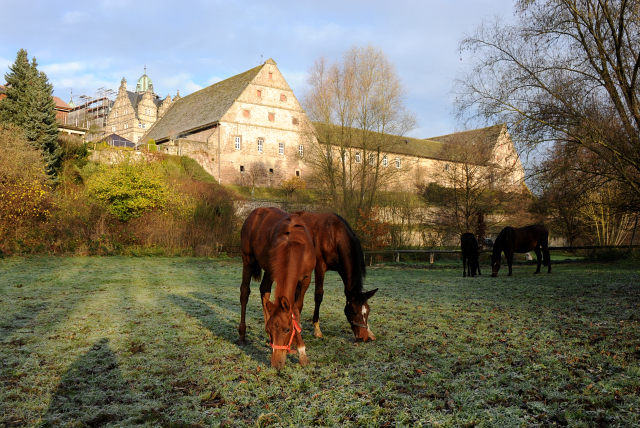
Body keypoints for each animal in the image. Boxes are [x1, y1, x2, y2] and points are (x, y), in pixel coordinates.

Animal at [238, 207, 316, 368]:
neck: (295, 246)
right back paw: (242, 335)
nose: (276, 364)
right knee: (244, 293)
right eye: (270, 329)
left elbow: (297, 309)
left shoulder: (306, 279)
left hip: (269, 270)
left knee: (264, 290)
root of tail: (255, 212)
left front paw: (302, 352)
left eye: (287, 329)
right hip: (248, 260)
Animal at [296, 211, 380, 342]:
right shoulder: (320, 267)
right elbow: (318, 295)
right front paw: (317, 329)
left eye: (368, 311)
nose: (363, 337)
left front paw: (370, 332)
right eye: (353, 311)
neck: (334, 236)